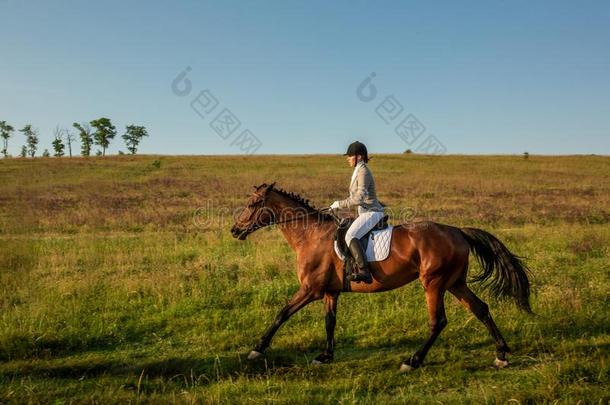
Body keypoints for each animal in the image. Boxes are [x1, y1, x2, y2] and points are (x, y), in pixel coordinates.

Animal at [230, 181, 528, 370]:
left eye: (253, 204)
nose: (235, 230)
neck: (310, 235)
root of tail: (457, 231)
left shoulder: (310, 290)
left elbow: (282, 313)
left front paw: (257, 348)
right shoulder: (330, 292)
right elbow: (329, 322)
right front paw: (325, 355)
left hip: (434, 283)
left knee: (438, 321)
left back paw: (412, 361)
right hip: (455, 282)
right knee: (480, 308)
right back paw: (501, 354)